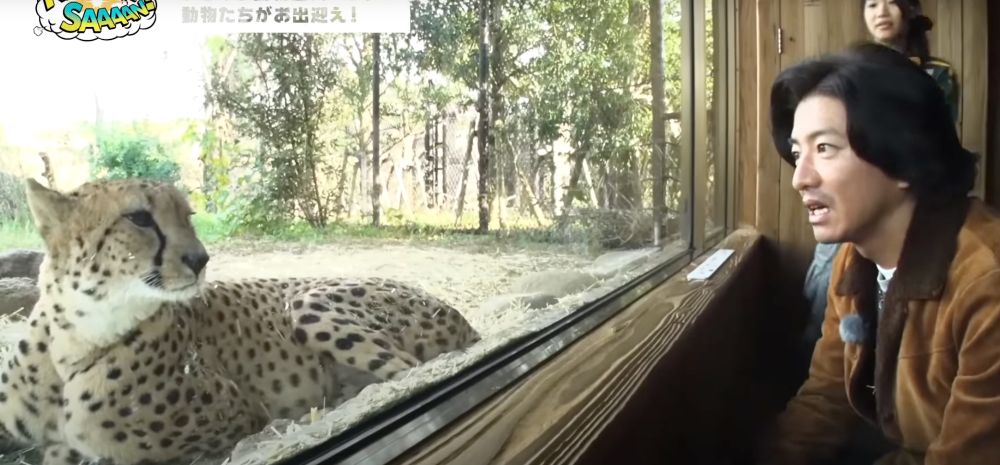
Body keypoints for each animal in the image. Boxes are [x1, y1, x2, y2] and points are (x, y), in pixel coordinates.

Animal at [0, 178, 481, 465]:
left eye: (188, 215)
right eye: (138, 217)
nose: (200, 260)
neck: (76, 337)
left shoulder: (231, 419)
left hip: (309, 300)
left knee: (406, 371)